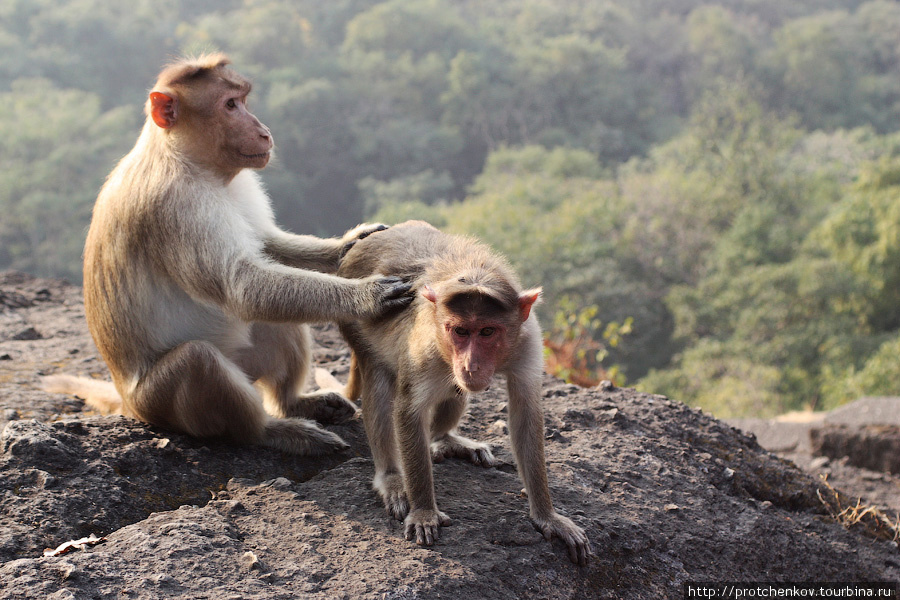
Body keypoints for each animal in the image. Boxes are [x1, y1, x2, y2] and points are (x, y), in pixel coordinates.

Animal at [39, 55, 412, 454]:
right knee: (199, 361)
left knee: (275, 315)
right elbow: (241, 285)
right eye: (230, 105)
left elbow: (266, 248)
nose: (264, 132)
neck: (188, 161)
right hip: (159, 403)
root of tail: (127, 400)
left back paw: (294, 403)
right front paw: (367, 297)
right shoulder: (178, 204)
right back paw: (273, 431)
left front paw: (351, 241)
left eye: (243, 100)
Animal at [334, 219, 596, 564]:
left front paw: (547, 516)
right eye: (459, 331)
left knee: (454, 389)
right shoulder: (424, 345)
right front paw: (424, 511)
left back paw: (445, 439)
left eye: (487, 331)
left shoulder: (528, 338)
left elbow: (526, 412)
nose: (470, 364)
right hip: (352, 318)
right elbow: (408, 411)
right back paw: (391, 478)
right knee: (378, 384)